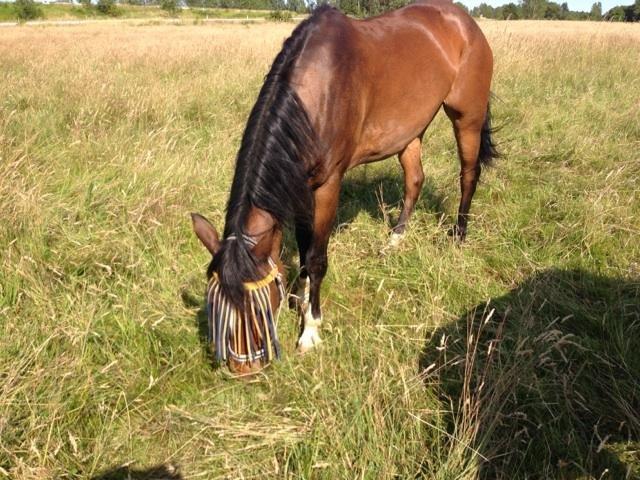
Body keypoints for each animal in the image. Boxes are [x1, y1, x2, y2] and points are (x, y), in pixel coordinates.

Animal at [191, 0, 500, 376]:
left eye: (259, 307)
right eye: (214, 306)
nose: (244, 369)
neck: (317, 92)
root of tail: (465, 21)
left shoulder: (328, 185)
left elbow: (317, 257)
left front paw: (310, 328)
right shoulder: (302, 186)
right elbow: (305, 248)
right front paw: (301, 298)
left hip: (466, 115)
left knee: (468, 173)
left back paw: (458, 236)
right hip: (410, 128)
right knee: (414, 179)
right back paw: (395, 240)